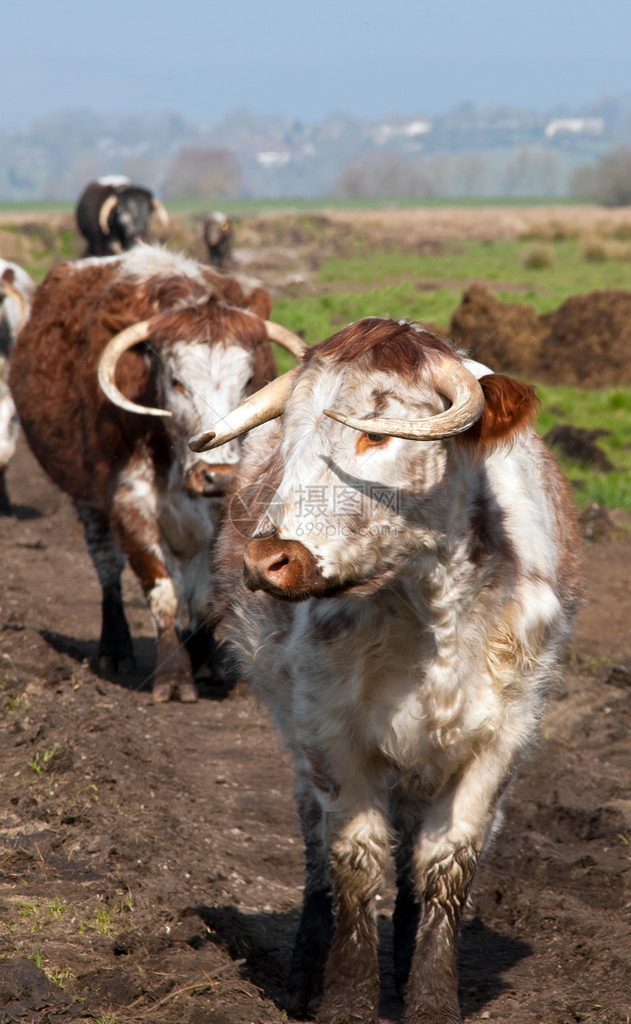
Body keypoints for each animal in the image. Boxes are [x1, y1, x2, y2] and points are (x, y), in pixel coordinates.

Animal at [9, 243, 305, 700]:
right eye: (178, 381)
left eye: (248, 380)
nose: (217, 475)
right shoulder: (129, 502)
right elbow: (162, 589)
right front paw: (173, 675)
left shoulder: (219, 511)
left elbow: (200, 596)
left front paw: (205, 661)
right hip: (88, 503)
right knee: (107, 565)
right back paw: (115, 648)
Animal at [196, 319, 581, 1024]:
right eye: (289, 437)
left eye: (375, 434)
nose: (267, 561)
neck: (431, 608)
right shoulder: (328, 731)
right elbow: (355, 855)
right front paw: (348, 997)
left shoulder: (504, 738)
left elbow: (447, 861)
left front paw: (429, 998)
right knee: (316, 839)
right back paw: (306, 970)